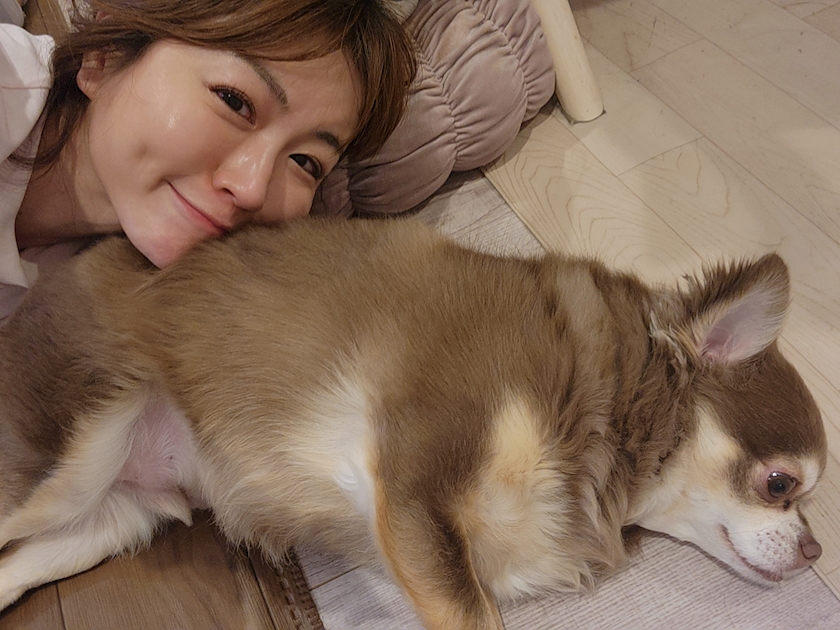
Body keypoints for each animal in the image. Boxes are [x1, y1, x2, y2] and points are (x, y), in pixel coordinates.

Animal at [0, 217, 826, 629]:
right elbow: (472, 617)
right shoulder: (413, 493)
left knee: (16, 565)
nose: (818, 550)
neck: (603, 401)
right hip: (67, 458)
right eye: (781, 484)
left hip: (115, 516)